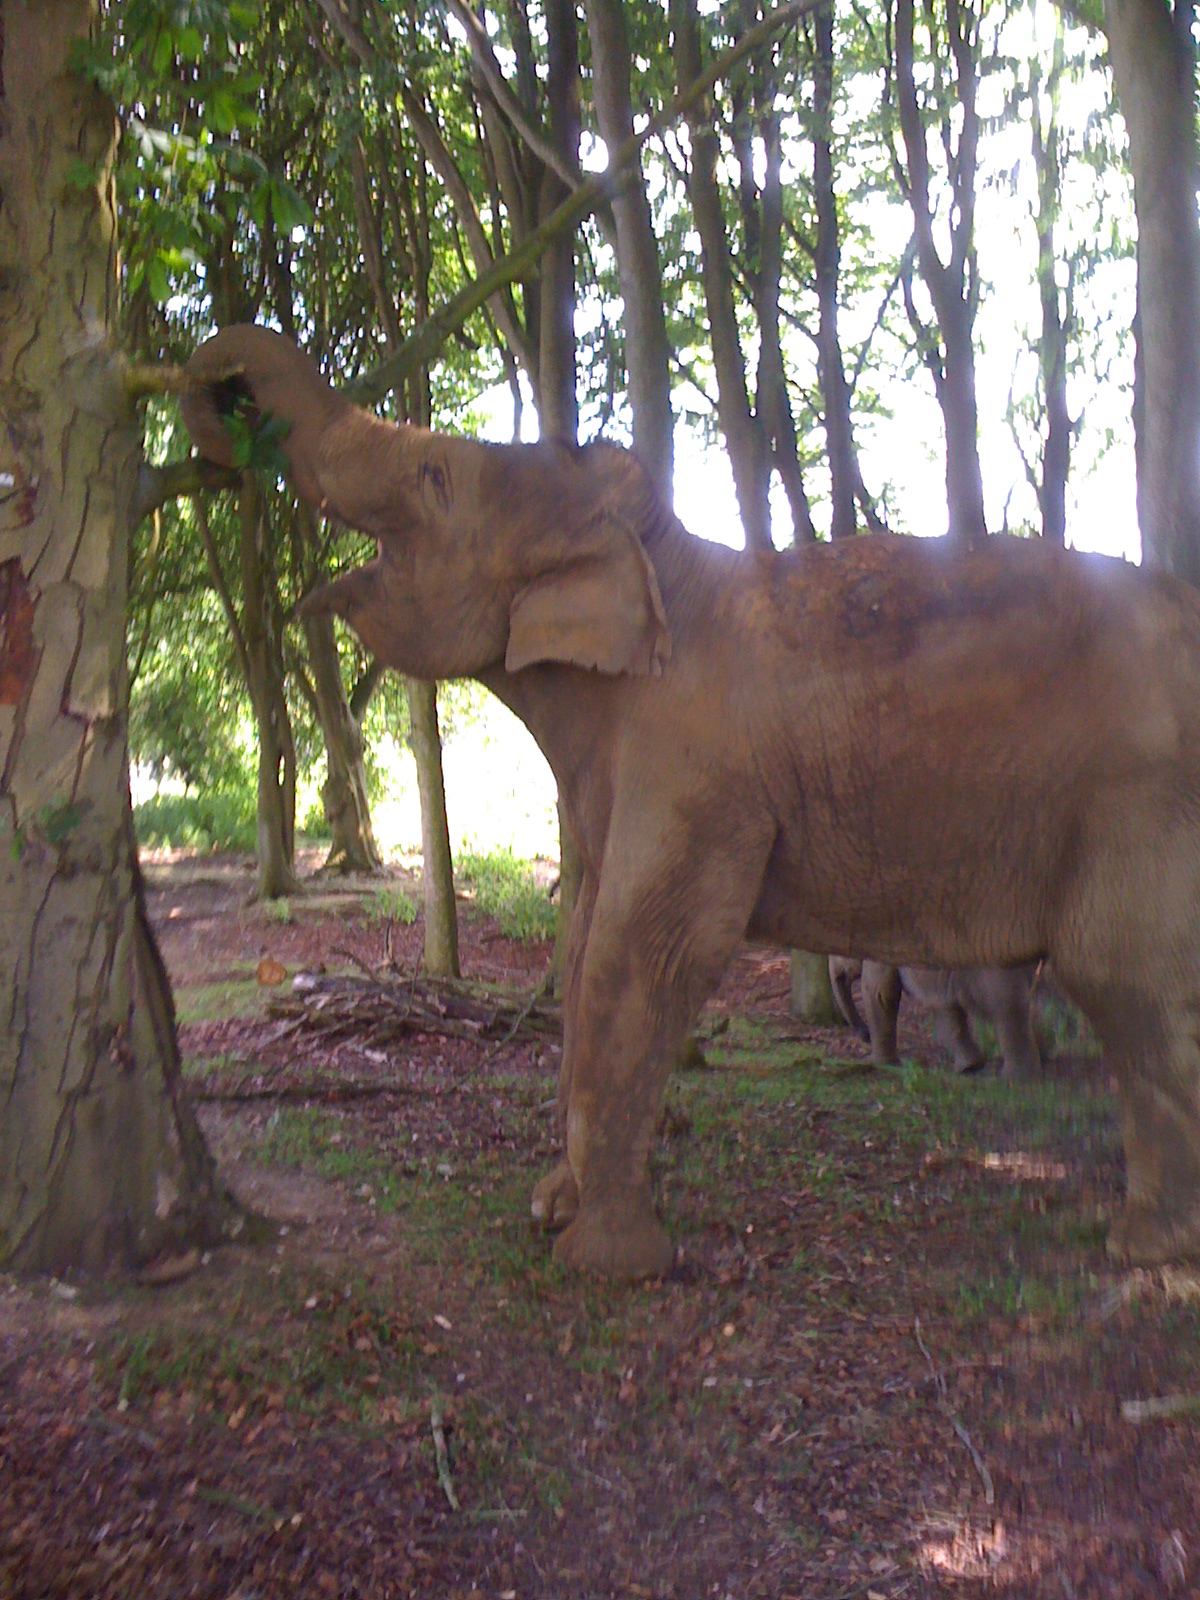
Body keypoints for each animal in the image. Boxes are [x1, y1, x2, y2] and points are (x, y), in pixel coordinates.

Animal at [828, 955, 1040, 1078]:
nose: (864, 1035)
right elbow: (944, 1011)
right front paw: (968, 1068)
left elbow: (880, 993)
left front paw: (877, 1063)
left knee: (1008, 1007)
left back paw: (1016, 1078)